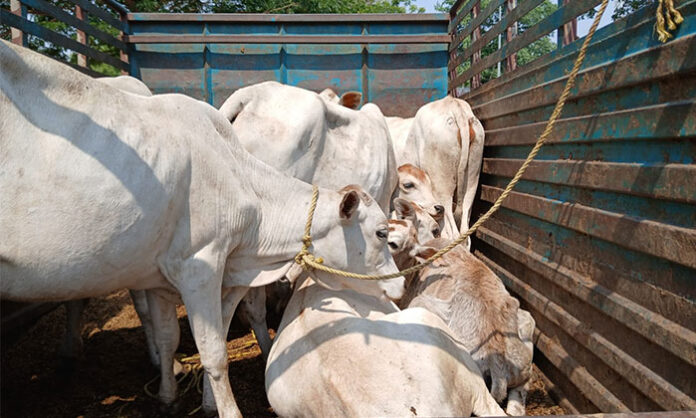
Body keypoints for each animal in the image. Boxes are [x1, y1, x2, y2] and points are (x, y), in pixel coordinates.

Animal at [0, 40, 404, 418]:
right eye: (381, 233)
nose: (400, 286)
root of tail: (250, 95)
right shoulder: (202, 266)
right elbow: (214, 351)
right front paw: (225, 408)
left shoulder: (161, 278)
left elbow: (171, 337)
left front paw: (168, 396)